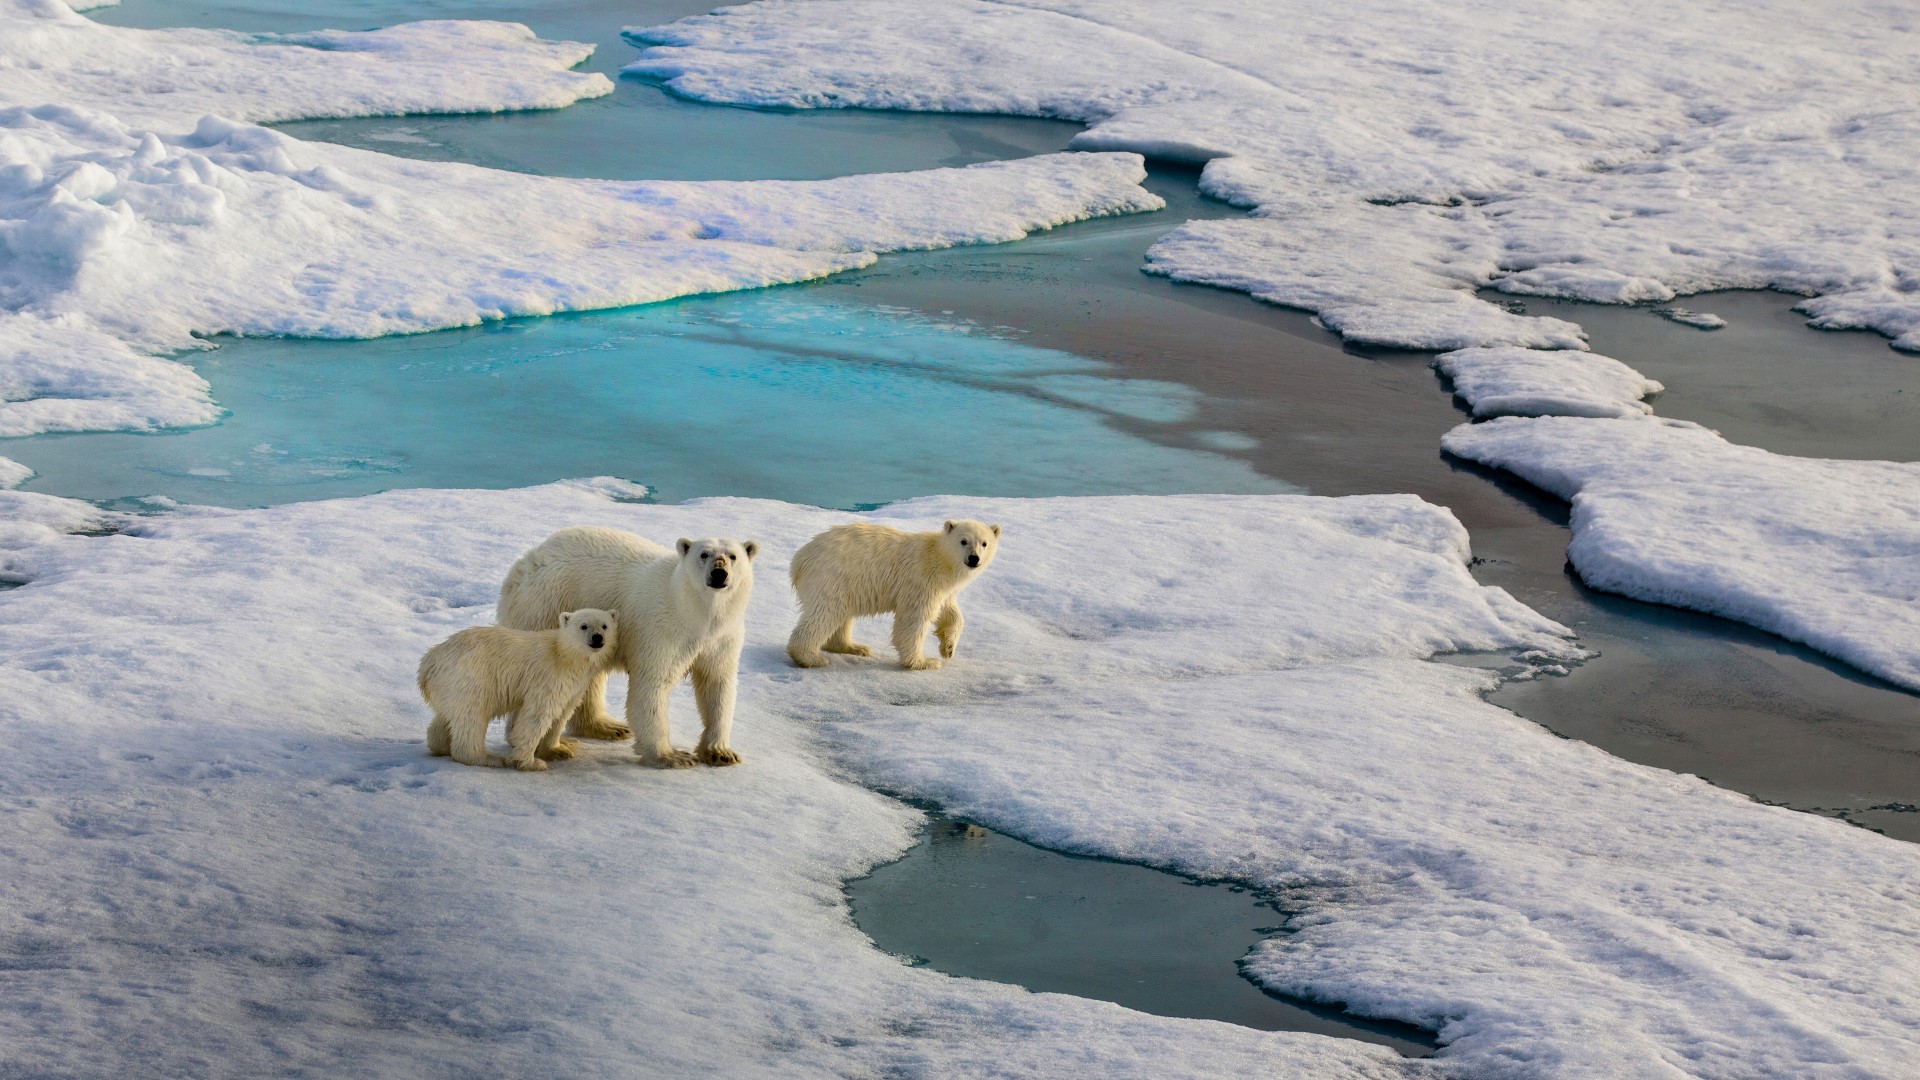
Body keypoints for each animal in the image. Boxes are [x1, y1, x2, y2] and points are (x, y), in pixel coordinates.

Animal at [419, 609, 618, 771]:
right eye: (583, 626)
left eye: (604, 625)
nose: (597, 637)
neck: (565, 655)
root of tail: (428, 664)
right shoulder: (549, 676)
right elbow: (537, 715)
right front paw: (531, 762)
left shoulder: (575, 685)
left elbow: (563, 712)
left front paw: (559, 749)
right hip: (470, 679)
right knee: (472, 718)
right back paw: (487, 758)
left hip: (448, 687)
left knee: (447, 716)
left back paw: (441, 746)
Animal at [496, 526, 758, 768]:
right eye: (704, 554)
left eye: (733, 556)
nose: (719, 573)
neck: (694, 613)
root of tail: (524, 564)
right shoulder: (663, 630)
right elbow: (652, 685)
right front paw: (672, 756)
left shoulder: (722, 637)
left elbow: (717, 683)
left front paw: (721, 753)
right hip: (546, 606)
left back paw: (607, 727)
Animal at [787, 518, 1002, 671]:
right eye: (963, 541)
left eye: (984, 543)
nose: (974, 558)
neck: (940, 559)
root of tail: (800, 560)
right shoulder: (921, 580)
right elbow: (913, 620)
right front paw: (924, 662)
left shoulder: (943, 589)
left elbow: (950, 612)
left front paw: (948, 648)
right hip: (833, 578)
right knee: (825, 614)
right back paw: (811, 658)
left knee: (842, 615)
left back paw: (854, 647)